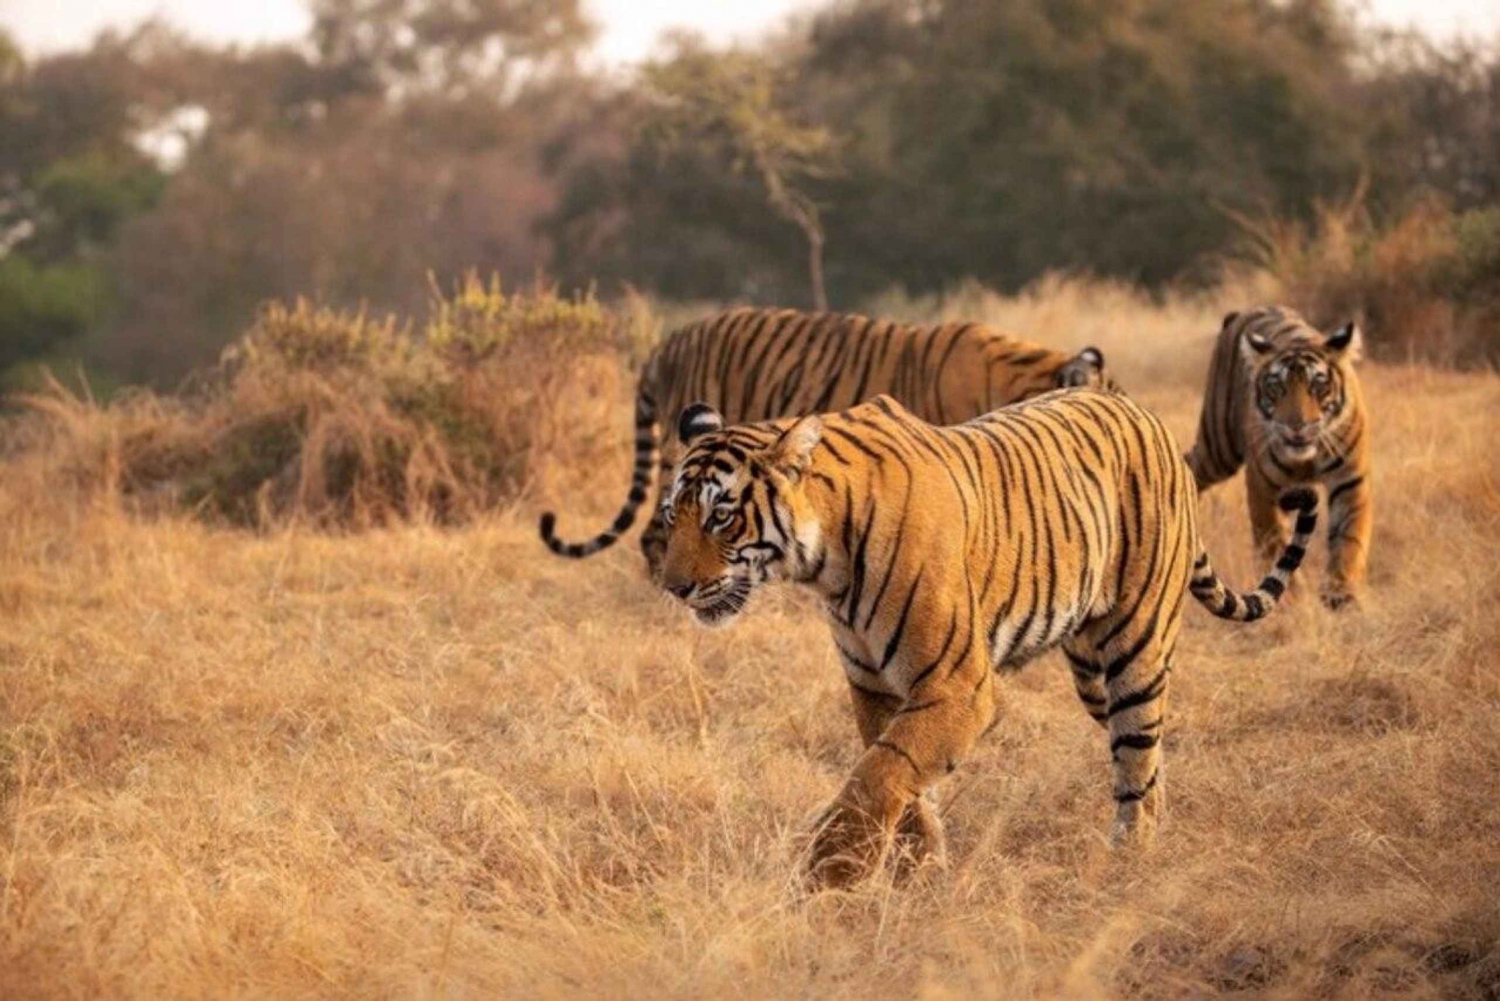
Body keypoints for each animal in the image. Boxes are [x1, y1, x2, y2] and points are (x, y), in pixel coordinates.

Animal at [657, 387, 1314, 888]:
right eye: (671, 515)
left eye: (720, 516)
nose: (673, 587)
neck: (826, 563)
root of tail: (1147, 417)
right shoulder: (875, 687)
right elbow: (901, 778)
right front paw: (918, 870)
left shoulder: (959, 686)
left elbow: (876, 778)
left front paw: (829, 877)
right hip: (1092, 673)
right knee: (1149, 751)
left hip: (1136, 647)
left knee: (1136, 754)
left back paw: (1132, 857)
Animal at [1182, 303, 1374, 612]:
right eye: (1277, 388)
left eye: (1317, 386)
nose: (1296, 426)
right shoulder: (1264, 486)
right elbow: (1274, 542)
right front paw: (1291, 599)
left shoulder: (1351, 481)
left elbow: (1350, 539)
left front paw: (1340, 594)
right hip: (1219, 448)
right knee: (1192, 466)